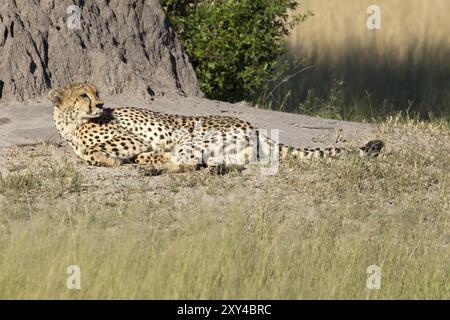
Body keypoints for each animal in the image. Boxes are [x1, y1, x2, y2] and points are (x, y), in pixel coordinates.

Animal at [49, 82, 384, 172]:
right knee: (228, 162)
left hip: (194, 139)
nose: (101, 105)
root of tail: (251, 124)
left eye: (96, 92)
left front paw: (105, 159)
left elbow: (91, 152)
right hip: (228, 149)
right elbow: (83, 153)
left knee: (185, 162)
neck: (71, 124)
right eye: (84, 95)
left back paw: (150, 165)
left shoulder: (133, 141)